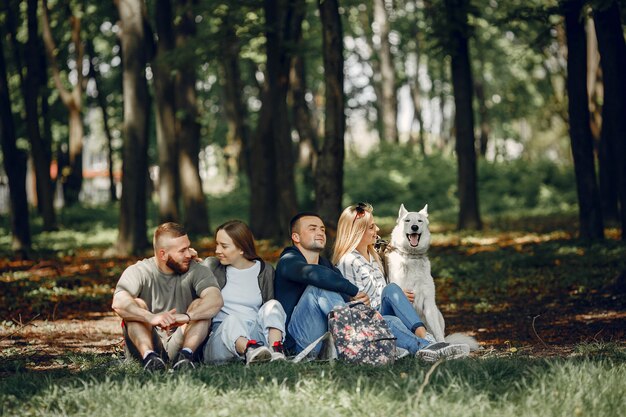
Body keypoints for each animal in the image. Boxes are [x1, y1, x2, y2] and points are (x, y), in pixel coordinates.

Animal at [386, 203, 478, 350]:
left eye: (419, 221)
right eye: (407, 220)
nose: (414, 227)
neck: (412, 258)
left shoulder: (428, 302)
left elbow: (437, 332)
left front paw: (442, 344)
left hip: (438, 312)